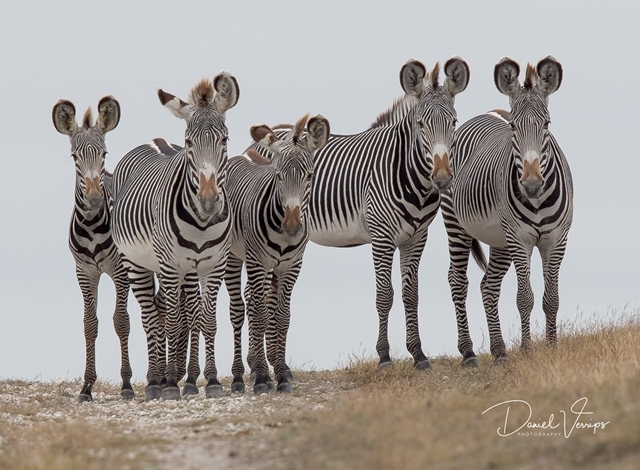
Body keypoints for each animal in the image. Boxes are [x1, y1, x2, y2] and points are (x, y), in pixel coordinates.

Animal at [52, 94, 134, 400]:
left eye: (104, 154)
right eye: (74, 157)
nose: (96, 198)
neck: (91, 225)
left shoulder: (121, 271)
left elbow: (121, 321)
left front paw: (126, 384)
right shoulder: (85, 272)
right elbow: (90, 324)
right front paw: (87, 387)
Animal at [111, 73, 239, 400]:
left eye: (224, 139)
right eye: (189, 143)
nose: (208, 201)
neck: (202, 223)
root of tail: (153, 140)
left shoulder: (213, 266)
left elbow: (205, 320)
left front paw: (210, 381)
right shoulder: (170, 266)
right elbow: (171, 322)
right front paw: (169, 385)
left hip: (182, 270)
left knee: (172, 312)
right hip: (136, 263)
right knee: (150, 317)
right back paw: (156, 382)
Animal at [225, 115, 330, 394]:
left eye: (310, 175)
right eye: (279, 176)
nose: (292, 225)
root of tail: (242, 155)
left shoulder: (291, 266)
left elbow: (282, 316)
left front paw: (281, 374)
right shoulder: (258, 261)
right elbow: (262, 315)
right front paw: (262, 377)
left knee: (254, 299)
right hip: (235, 257)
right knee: (239, 308)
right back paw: (240, 375)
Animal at [248, 57, 468, 370]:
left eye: (454, 122)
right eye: (421, 124)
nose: (441, 177)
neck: (404, 170)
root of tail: (266, 136)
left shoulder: (416, 238)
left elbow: (410, 295)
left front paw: (418, 355)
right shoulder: (382, 237)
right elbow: (385, 295)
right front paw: (385, 356)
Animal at [442, 55, 572, 364]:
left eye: (547, 124)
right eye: (513, 127)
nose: (532, 184)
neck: (537, 201)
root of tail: (488, 112)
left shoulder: (557, 240)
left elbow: (552, 298)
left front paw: (552, 347)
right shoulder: (520, 239)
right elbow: (525, 297)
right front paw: (526, 349)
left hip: (499, 239)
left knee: (488, 285)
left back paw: (499, 350)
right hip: (457, 224)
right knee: (457, 280)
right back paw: (468, 352)